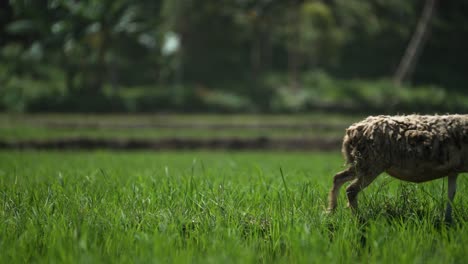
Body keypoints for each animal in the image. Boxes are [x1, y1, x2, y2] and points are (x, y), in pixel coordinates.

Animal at [326, 114, 468, 222]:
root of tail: (351, 132)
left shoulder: (453, 170)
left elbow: (451, 194)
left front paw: (448, 220)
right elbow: (452, 194)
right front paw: (448, 220)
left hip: (361, 163)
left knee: (337, 178)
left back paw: (331, 211)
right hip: (371, 164)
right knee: (351, 189)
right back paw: (358, 219)